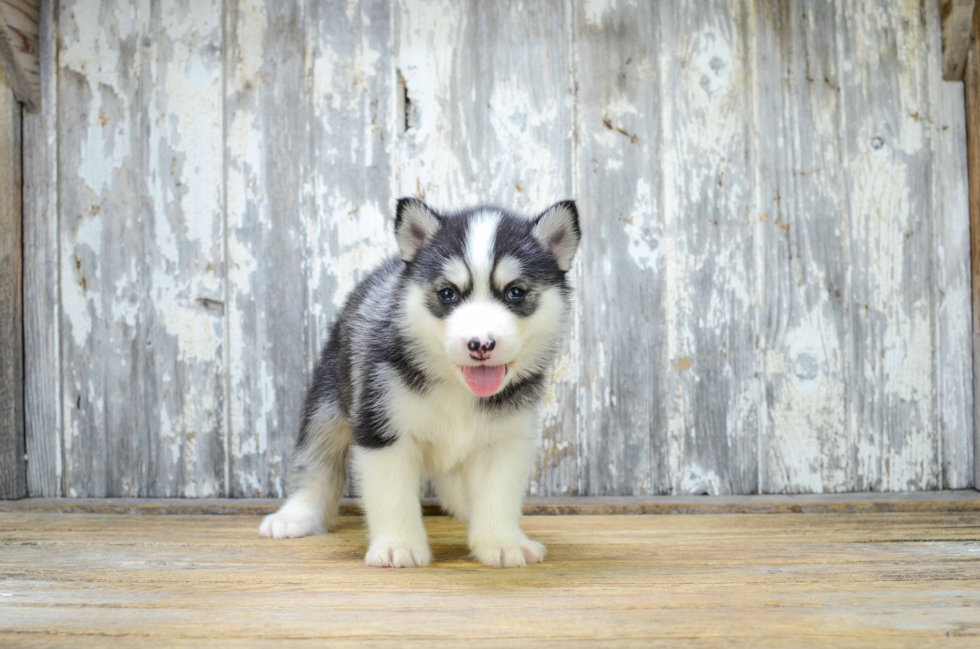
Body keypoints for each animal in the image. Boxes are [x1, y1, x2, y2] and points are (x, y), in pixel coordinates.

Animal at [260, 197, 580, 568]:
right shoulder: (381, 430)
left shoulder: (505, 439)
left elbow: (497, 494)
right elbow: (392, 495)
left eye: (515, 292)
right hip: (327, 404)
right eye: (448, 293)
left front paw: (501, 541)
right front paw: (397, 545)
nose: (480, 344)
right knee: (317, 461)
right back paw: (297, 514)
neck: (455, 386)